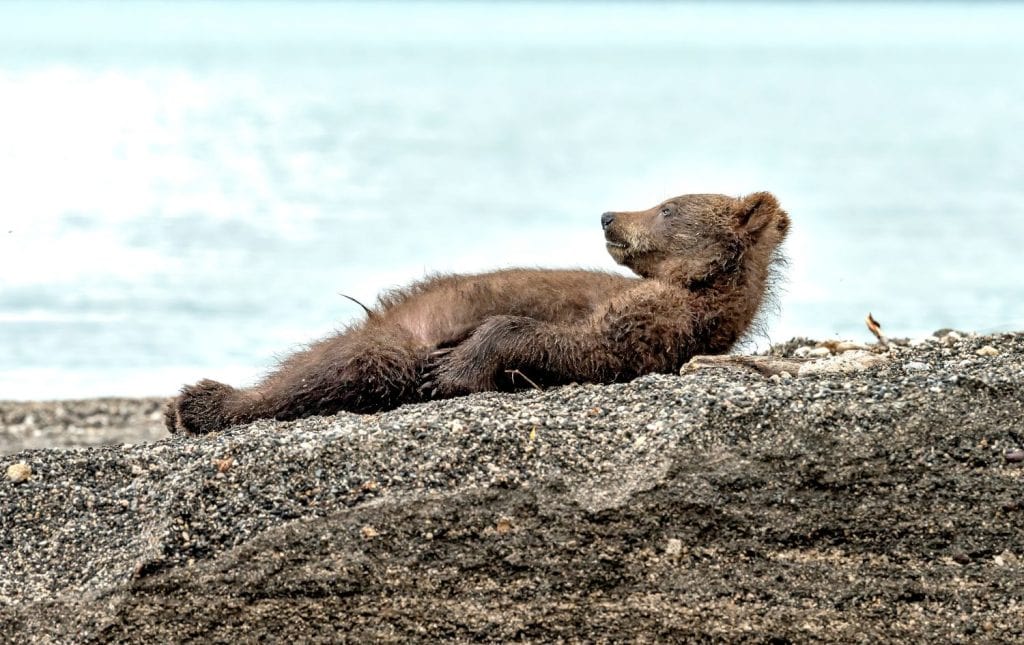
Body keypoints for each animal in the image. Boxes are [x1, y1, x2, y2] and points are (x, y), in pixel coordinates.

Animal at [165, 191, 790, 434]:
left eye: (667, 208)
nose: (608, 216)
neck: (692, 286)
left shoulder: (663, 327)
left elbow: (576, 345)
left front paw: (456, 368)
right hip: (397, 312)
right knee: (316, 358)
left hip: (391, 343)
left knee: (348, 367)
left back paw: (204, 403)